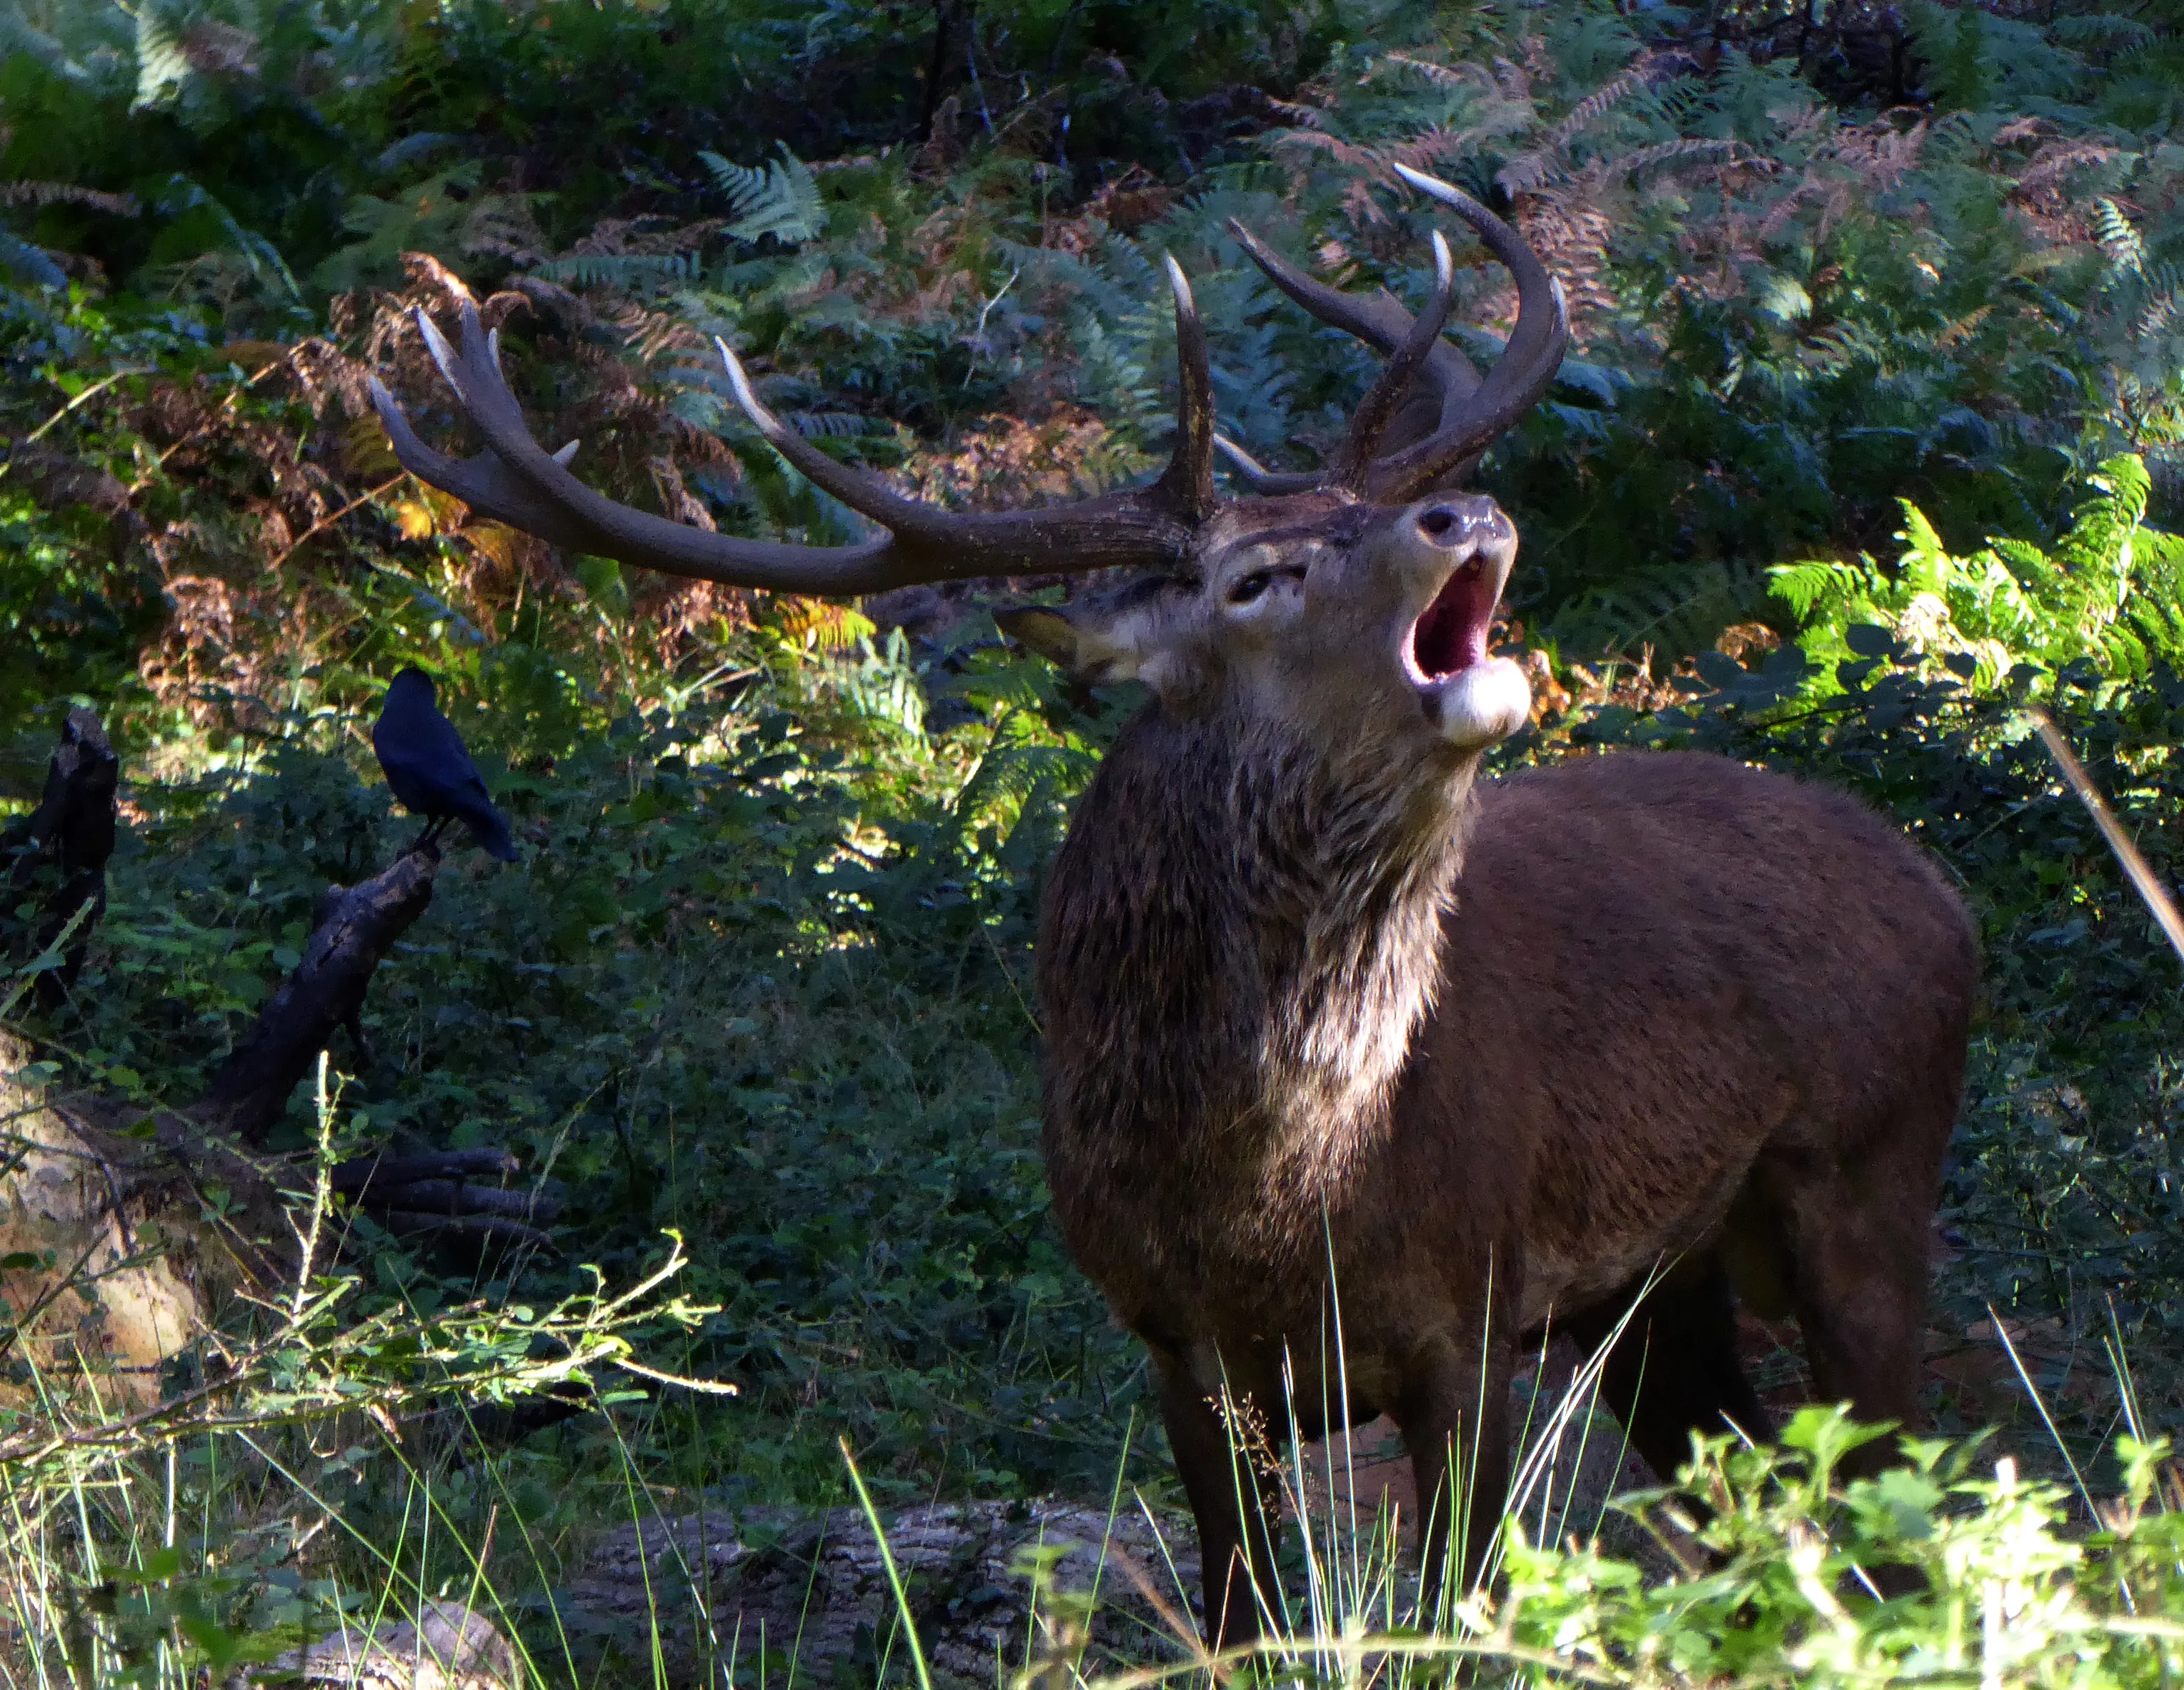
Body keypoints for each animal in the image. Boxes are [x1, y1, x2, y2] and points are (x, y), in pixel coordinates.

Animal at [371, 163, 1977, 1646]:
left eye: (1373, 512)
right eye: (1258, 575)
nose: (1462, 506)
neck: (1272, 1188)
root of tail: (1933, 883)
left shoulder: (1468, 1307)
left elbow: (1458, 1602)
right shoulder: (1170, 1339)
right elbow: (1237, 1607)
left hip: (1867, 1165)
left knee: (1896, 1513)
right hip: (1657, 1286)